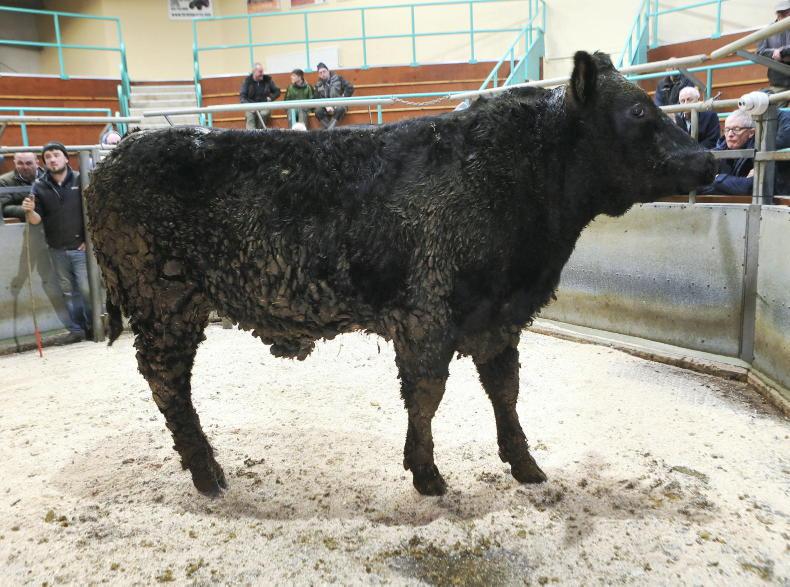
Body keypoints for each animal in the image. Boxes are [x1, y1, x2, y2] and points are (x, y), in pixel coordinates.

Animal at [85, 52, 715, 497]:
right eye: (639, 111)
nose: (706, 160)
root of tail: (115, 156)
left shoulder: (499, 317)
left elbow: (505, 391)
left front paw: (525, 465)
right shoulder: (427, 314)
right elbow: (427, 395)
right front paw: (428, 475)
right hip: (164, 300)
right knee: (168, 384)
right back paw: (208, 474)